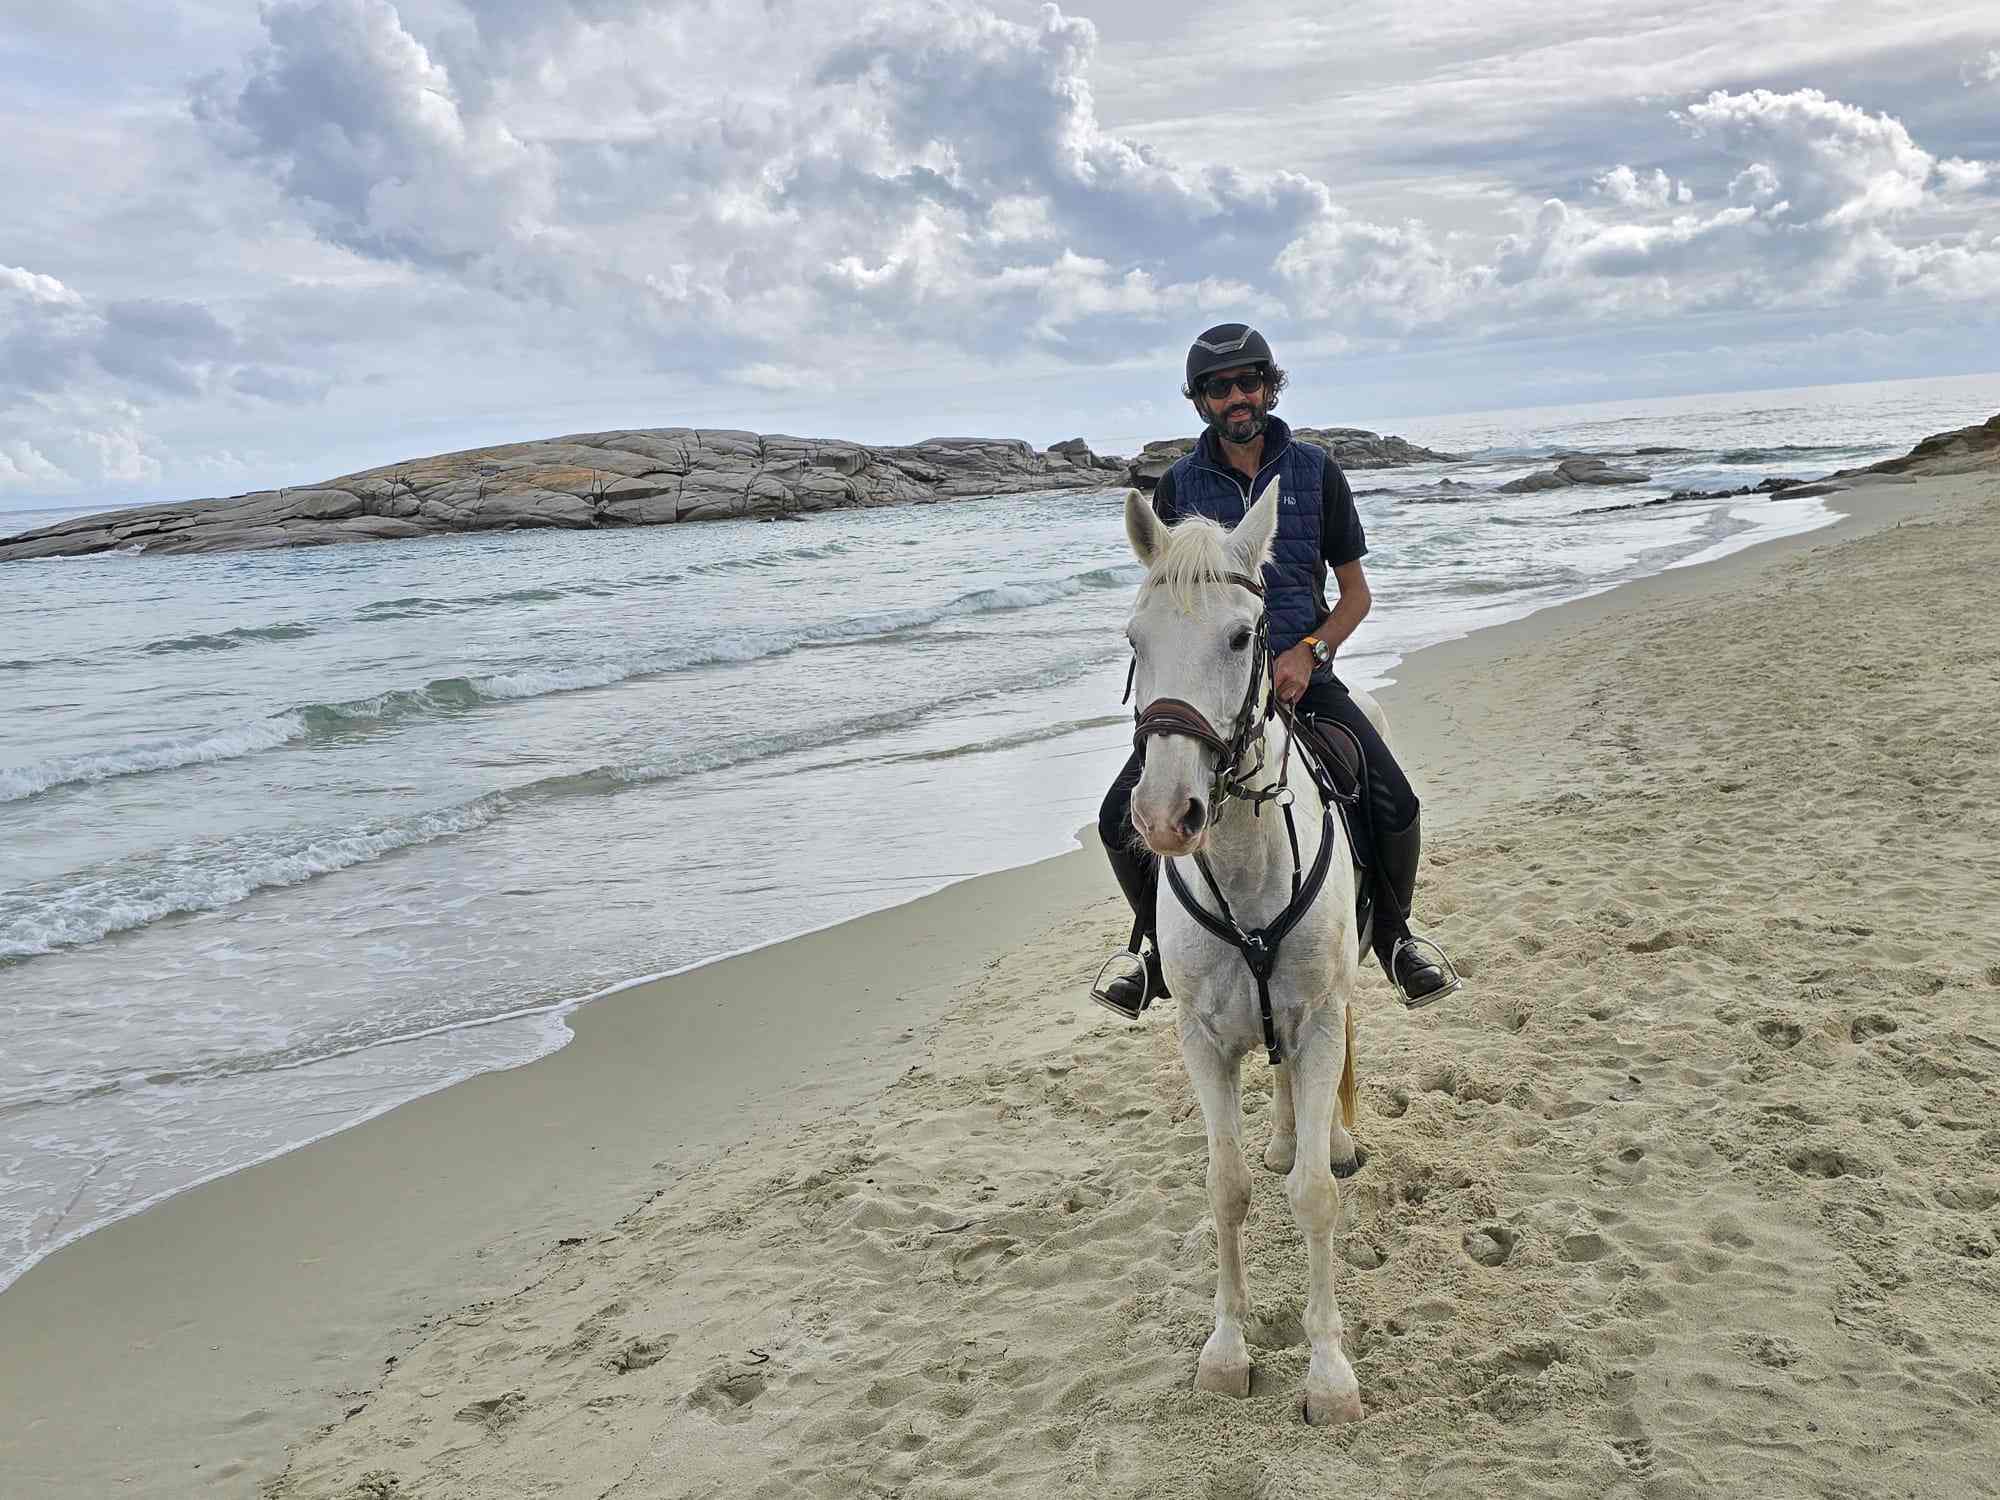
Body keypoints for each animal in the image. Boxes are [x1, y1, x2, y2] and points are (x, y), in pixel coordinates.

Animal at [1120, 482, 1384, 1432]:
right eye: (1135, 639)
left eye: (1243, 637)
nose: (1166, 817)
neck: (1244, 864)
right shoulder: (1203, 1042)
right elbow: (1227, 1188)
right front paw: (1227, 1351)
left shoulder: (1319, 1021)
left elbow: (1314, 1196)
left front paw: (1329, 1374)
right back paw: (1280, 1137)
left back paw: (1328, 1137)